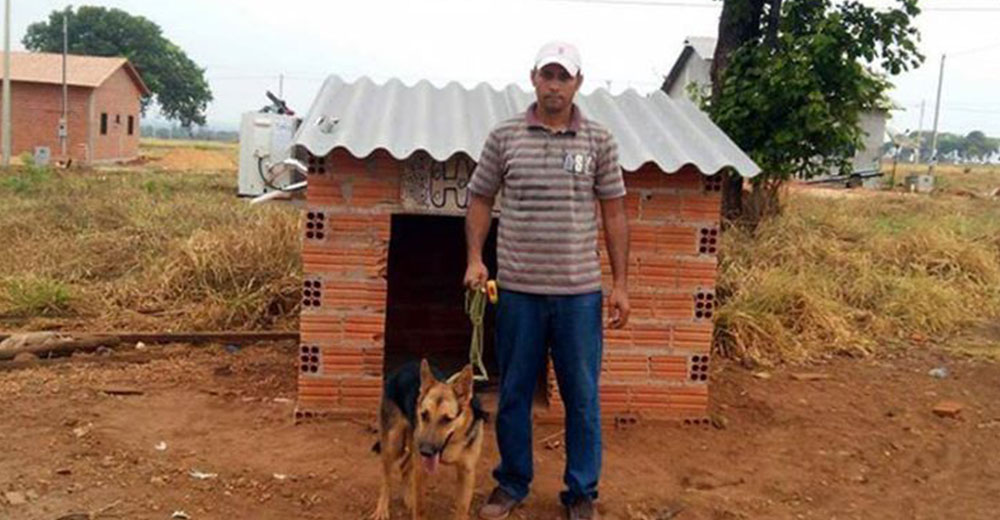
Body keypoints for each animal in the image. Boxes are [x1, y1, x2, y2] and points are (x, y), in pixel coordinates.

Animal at [372, 360, 488, 520]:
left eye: (447, 419)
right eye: (424, 415)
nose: (426, 451)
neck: (453, 442)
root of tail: (402, 368)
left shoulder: (467, 472)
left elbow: (462, 509)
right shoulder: (421, 469)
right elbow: (420, 509)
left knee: (404, 468)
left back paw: (408, 499)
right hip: (394, 445)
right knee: (386, 478)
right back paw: (382, 509)